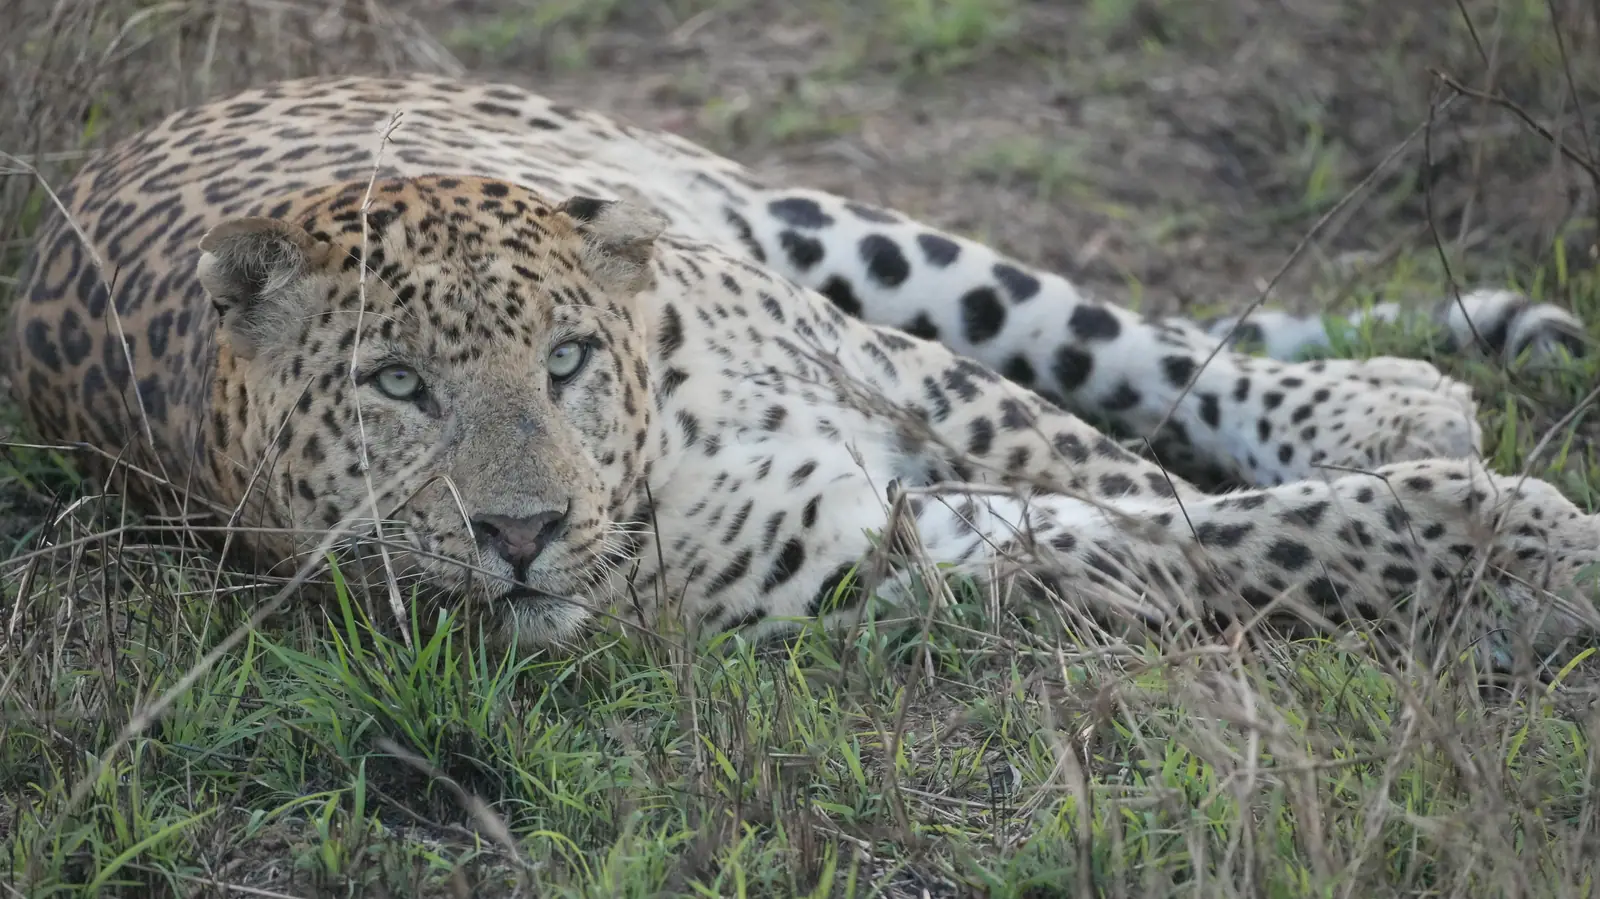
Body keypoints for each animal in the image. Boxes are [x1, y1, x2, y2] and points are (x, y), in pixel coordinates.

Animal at [7, 73, 1600, 670]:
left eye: (566, 357)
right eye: (396, 387)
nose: (520, 534)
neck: (656, 470)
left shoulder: (904, 377)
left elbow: (1125, 468)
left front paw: (1504, 537)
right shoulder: (871, 547)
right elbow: (1203, 543)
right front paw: (1519, 550)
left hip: (829, 236)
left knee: (1117, 340)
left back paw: (1385, 398)